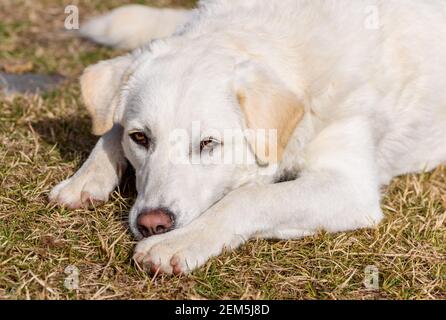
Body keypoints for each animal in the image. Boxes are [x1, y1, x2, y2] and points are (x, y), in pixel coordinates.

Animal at [49, 0, 446, 276]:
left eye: (208, 143)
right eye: (140, 138)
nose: (152, 224)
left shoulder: (350, 189)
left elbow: (248, 197)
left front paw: (177, 243)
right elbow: (108, 127)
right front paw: (84, 179)